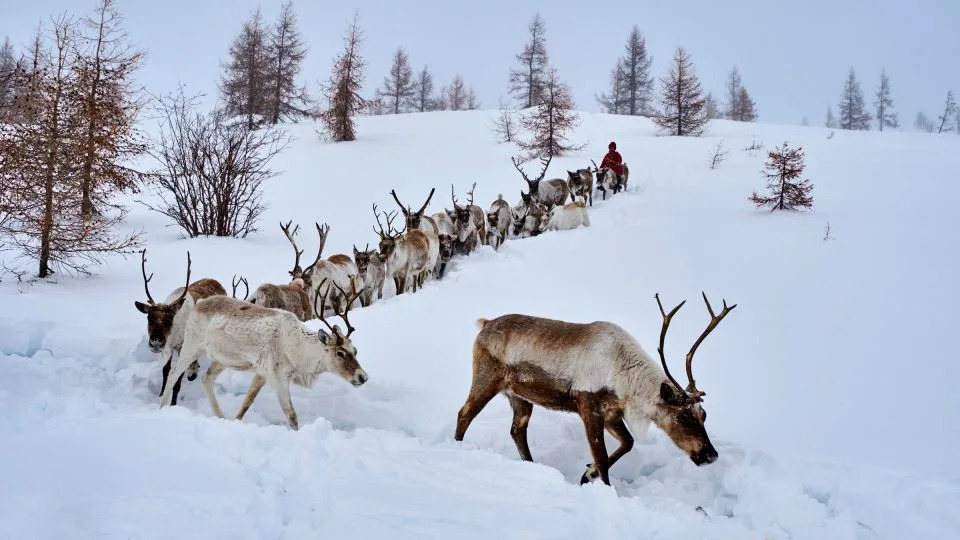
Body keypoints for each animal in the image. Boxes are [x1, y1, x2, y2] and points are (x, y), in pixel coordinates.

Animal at [134, 250, 226, 406]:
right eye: (149, 318)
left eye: (169, 319)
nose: (156, 342)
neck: (174, 335)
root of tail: (217, 282)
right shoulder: (168, 348)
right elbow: (166, 372)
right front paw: (161, 394)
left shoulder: (182, 346)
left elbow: (177, 381)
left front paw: (172, 404)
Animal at [160, 279, 368, 431]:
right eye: (340, 353)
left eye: (355, 350)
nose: (363, 377)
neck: (297, 352)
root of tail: (200, 303)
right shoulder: (278, 378)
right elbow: (291, 415)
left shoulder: (261, 374)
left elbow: (247, 402)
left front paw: (236, 420)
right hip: (191, 345)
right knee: (173, 374)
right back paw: (162, 407)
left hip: (222, 359)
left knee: (206, 378)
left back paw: (220, 416)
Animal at [454, 292, 736, 486]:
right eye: (684, 416)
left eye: (703, 415)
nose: (711, 455)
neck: (624, 377)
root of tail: (484, 324)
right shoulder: (588, 405)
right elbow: (601, 457)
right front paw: (601, 484)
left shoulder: (612, 412)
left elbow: (628, 443)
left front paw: (587, 474)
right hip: (486, 379)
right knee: (464, 413)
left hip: (520, 396)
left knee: (517, 430)